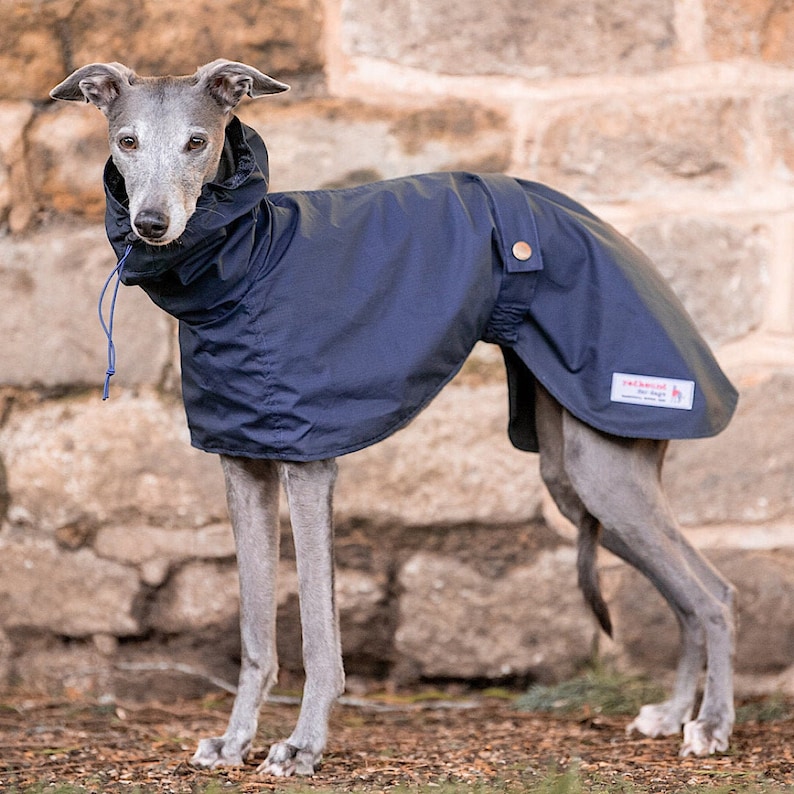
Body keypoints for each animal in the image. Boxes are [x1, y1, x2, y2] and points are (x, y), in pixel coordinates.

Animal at [52, 60, 736, 772]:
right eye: (126, 141)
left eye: (197, 142)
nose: (152, 224)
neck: (247, 263)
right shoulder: (242, 465)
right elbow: (255, 631)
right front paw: (236, 740)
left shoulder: (308, 465)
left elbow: (318, 633)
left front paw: (302, 745)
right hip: (575, 477)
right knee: (686, 598)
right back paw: (672, 714)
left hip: (605, 468)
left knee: (714, 595)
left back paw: (712, 724)